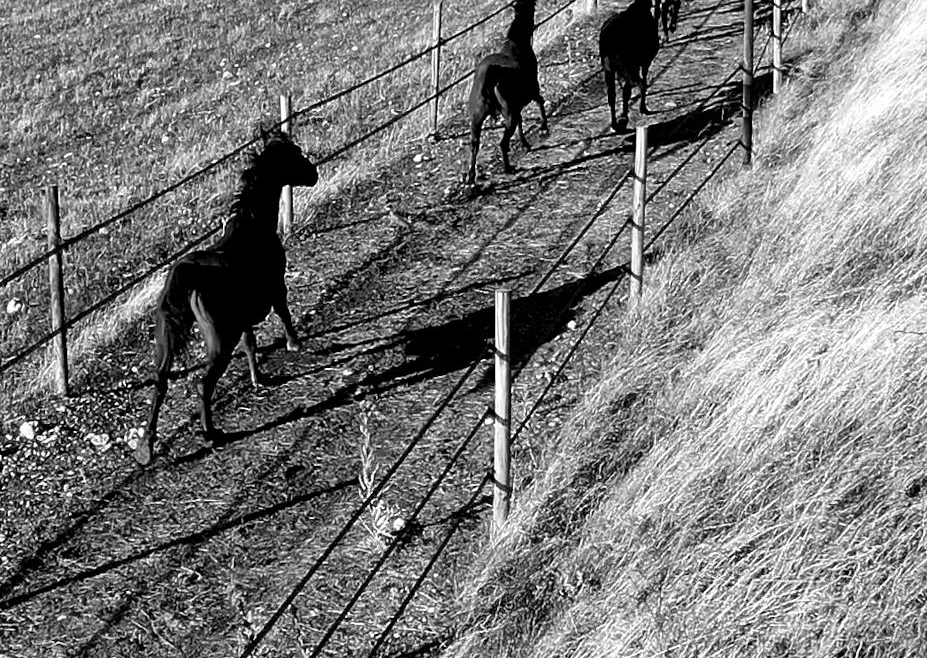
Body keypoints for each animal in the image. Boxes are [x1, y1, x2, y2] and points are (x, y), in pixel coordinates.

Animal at [135, 127, 320, 466]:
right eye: (296, 154)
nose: (312, 173)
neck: (253, 226)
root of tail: (185, 277)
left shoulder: (243, 315)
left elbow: (251, 343)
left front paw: (259, 378)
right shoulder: (275, 287)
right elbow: (284, 314)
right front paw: (294, 343)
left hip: (167, 337)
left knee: (161, 382)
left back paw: (145, 448)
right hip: (220, 339)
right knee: (203, 384)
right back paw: (211, 434)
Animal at [468, 0, 548, 184]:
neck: (518, 41)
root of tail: (489, 76)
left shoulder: (515, 105)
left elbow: (521, 120)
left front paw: (525, 143)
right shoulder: (531, 88)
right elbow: (540, 101)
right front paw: (543, 127)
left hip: (477, 115)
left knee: (474, 143)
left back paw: (470, 176)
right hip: (508, 110)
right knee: (503, 143)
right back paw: (508, 167)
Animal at [600, 0, 668, 131]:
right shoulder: (645, 61)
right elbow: (643, 82)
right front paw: (643, 109)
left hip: (609, 68)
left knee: (612, 94)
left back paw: (615, 123)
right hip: (629, 67)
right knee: (634, 85)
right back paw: (625, 118)